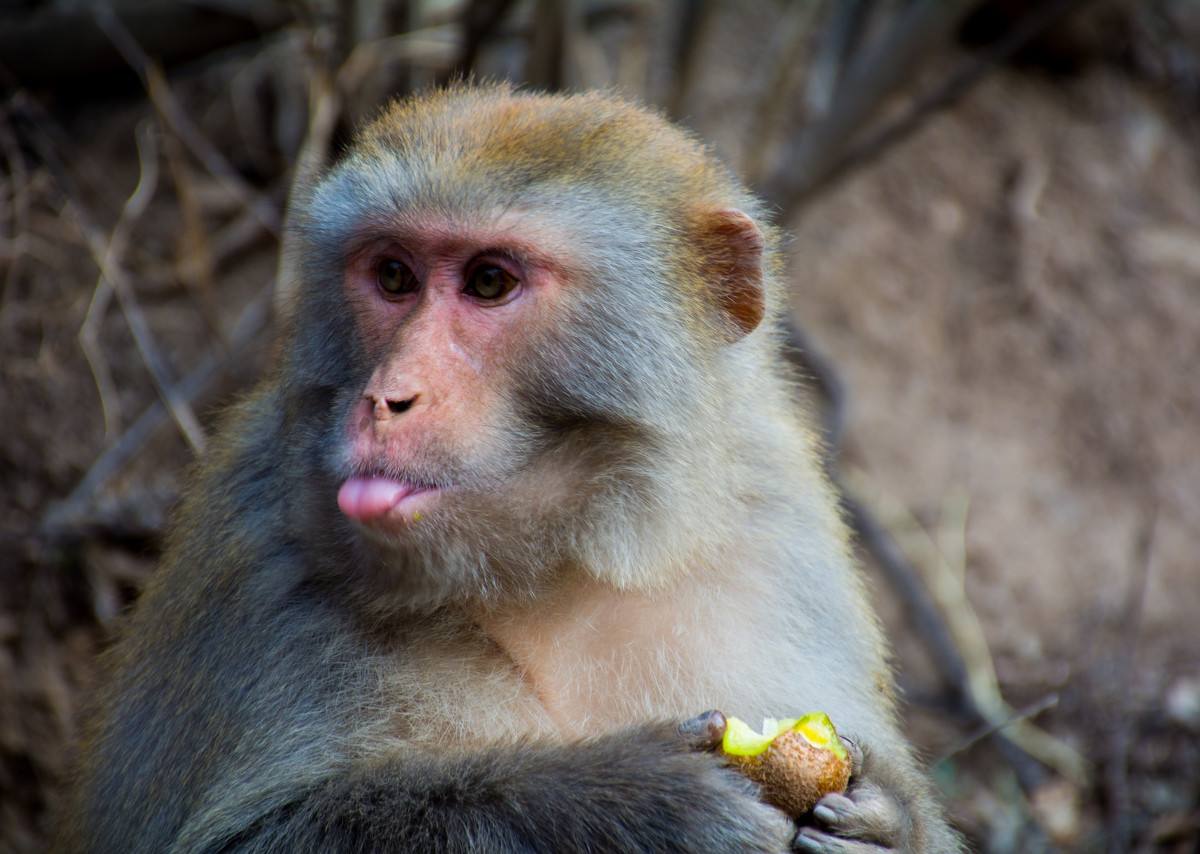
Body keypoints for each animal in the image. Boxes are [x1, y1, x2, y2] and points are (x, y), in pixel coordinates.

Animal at [58, 81, 964, 854]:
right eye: (394, 275)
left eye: (489, 282)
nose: (387, 396)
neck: (565, 562)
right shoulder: (263, 558)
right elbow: (252, 836)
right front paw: (628, 805)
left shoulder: (779, 529)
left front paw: (884, 820)